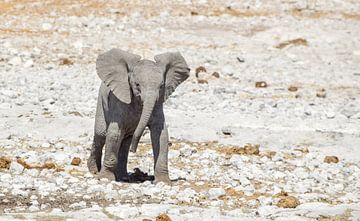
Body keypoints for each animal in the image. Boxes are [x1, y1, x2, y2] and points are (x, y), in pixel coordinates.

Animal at [86, 49, 191, 184]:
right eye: (137, 85)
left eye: (161, 86)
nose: (134, 150)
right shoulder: (118, 101)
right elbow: (114, 133)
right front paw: (105, 178)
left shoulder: (157, 104)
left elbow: (161, 134)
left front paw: (162, 181)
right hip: (101, 103)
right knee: (101, 134)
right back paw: (94, 171)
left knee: (126, 140)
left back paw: (123, 177)